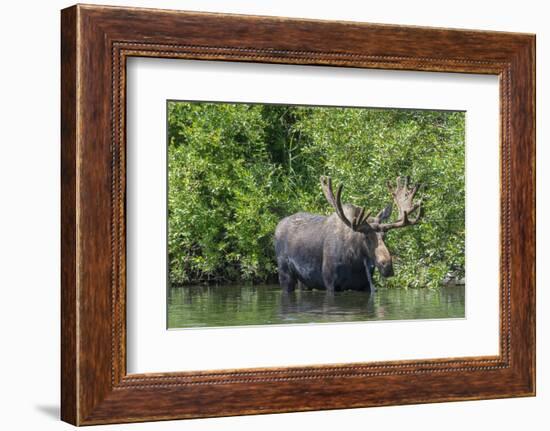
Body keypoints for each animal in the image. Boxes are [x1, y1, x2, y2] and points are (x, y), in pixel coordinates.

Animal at [274, 176, 422, 294]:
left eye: (384, 235)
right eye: (366, 237)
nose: (387, 266)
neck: (355, 261)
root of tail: (277, 226)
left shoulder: (364, 286)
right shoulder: (330, 283)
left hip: (304, 281)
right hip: (285, 274)